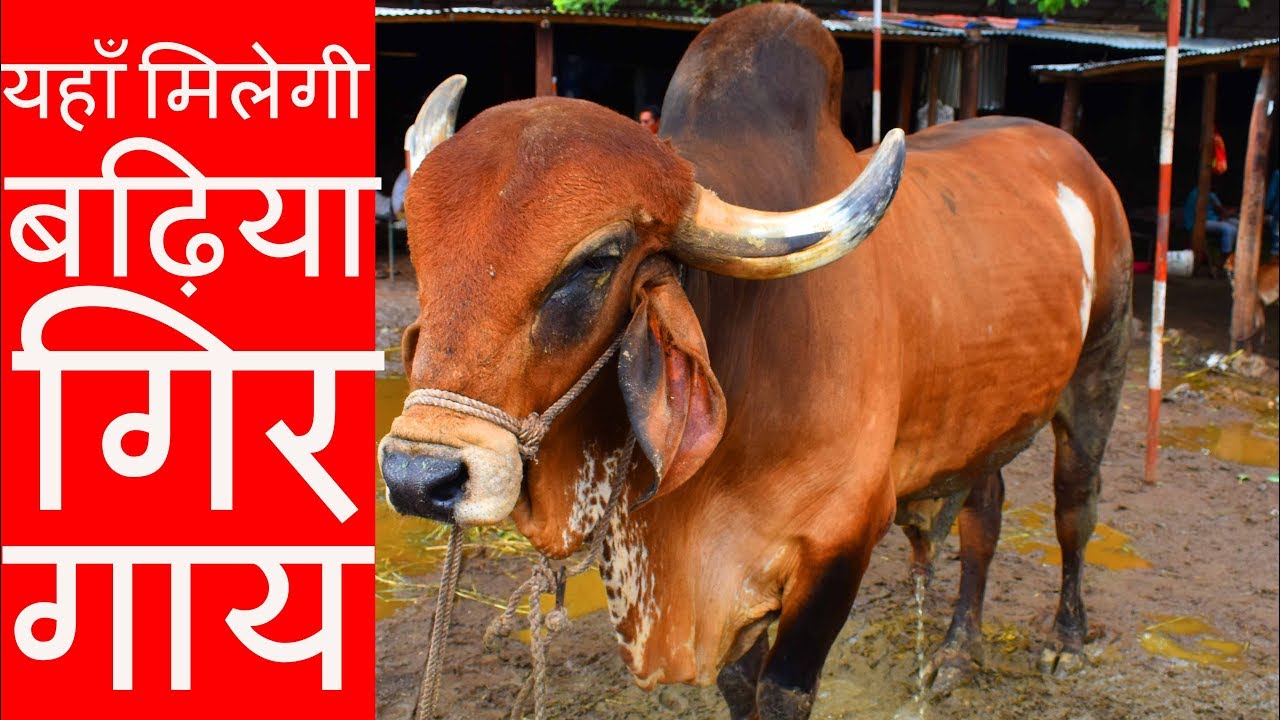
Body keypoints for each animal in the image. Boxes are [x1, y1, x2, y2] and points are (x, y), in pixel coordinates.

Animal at [378, 4, 1132, 719]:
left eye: (596, 261)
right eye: (418, 243)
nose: (419, 477)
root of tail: (1083, 165)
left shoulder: (842, 537)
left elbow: (783, 690)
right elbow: (740, 682)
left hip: (1100, 368)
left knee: (1075, 504)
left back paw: (1067, 640)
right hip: (986, 412)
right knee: (984, 513)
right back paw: (956, 651)